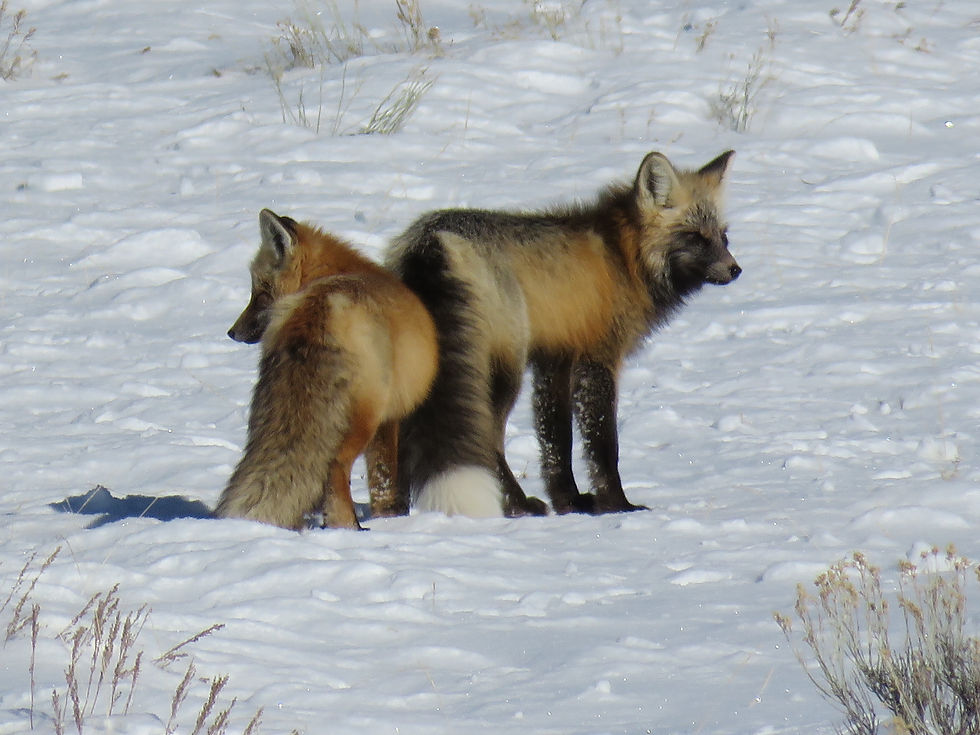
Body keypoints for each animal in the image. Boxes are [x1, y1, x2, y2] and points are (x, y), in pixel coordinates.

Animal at [215, 209, 438, 530]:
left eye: (261, 294)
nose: (232, 332)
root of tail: (319, 306)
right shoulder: (390, 416)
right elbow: (384, 477)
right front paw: (390, 517)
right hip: (364, 417)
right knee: (334, 466)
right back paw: (347, 526)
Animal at [385, 150, 740, 518]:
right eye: (695, 236)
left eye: (723, 236)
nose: (735, 269)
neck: (623, 258)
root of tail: (433, 239)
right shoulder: (597, 359)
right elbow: (603, 445)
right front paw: (617, 504)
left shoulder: (555, 360)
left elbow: (556, 442)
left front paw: (569, 502)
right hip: (502, 372)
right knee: (486, 438)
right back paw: (518, 504)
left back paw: (394, 510)